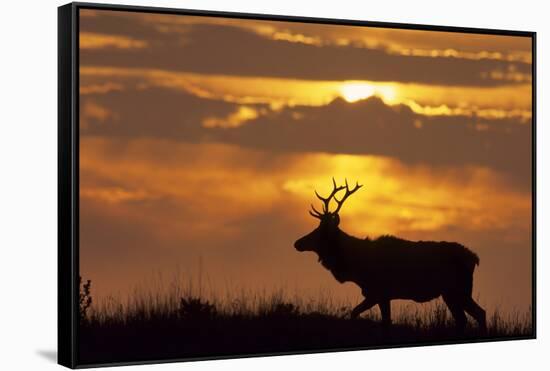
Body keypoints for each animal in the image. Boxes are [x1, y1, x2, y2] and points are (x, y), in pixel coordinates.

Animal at [296, 179, 490, 332]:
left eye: (321, 231)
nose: (297, 243)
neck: (356, 266)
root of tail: (474, 258)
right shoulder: (382, 294)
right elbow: (376, 318)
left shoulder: (378, 291)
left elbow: (364, 315)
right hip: (450, 293)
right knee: (465, 318)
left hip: (459, 289)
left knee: (479, 313)